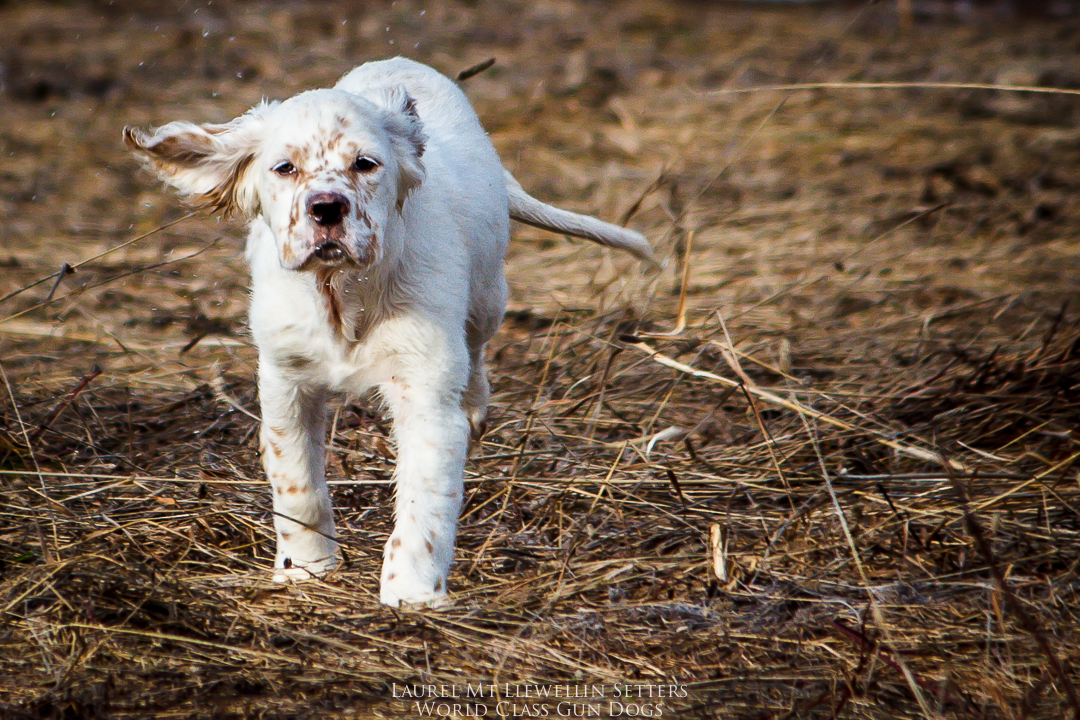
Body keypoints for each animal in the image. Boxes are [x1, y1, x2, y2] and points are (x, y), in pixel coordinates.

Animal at [124, 57, 648, 608]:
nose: (326, 208)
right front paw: (306, 569)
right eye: (285, 168)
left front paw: (412, 593)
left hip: (487, 297)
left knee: (477, 354)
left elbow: (425, 497)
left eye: (365, 164)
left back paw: (474, 406)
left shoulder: (425, 390)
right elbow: (297, 482)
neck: (343, 293)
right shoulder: (286, 382)